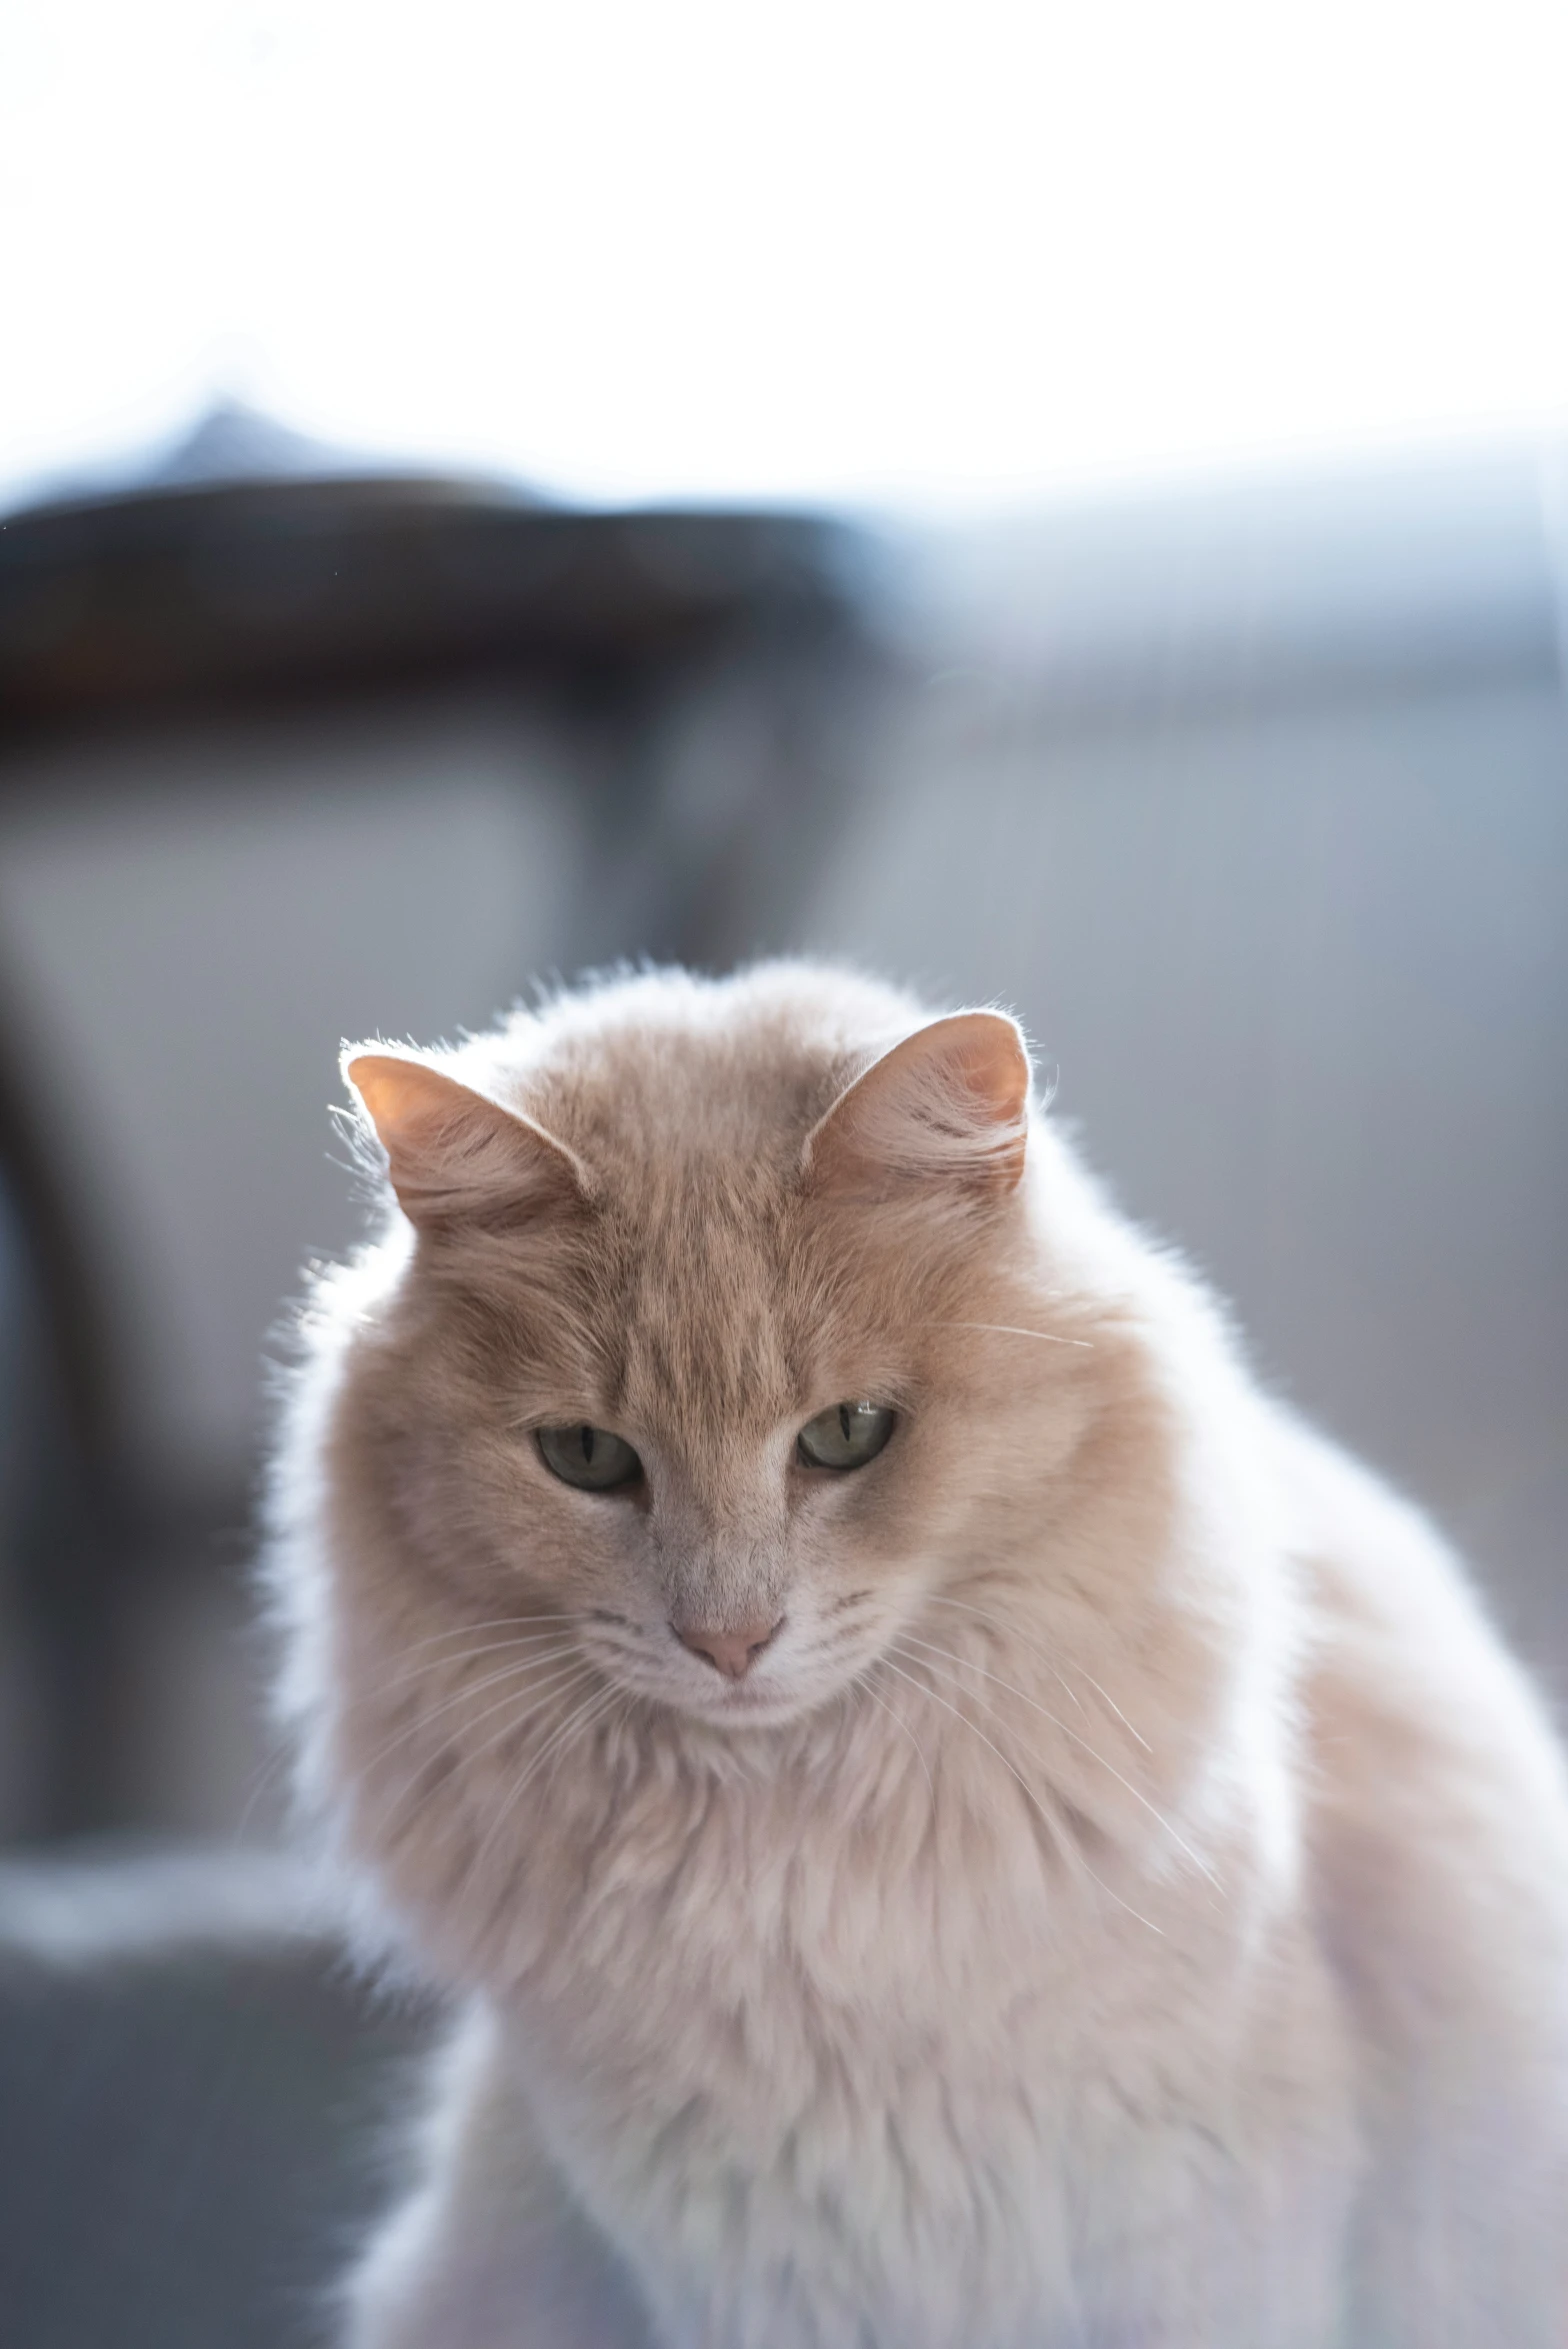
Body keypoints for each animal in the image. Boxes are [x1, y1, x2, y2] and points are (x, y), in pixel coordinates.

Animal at [269, 958, 1568, 2349]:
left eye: (846, 1433)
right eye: (584, 1457)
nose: (727, 1640)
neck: (787, 1864)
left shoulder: (1202, 2226)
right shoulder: (746, 2266)